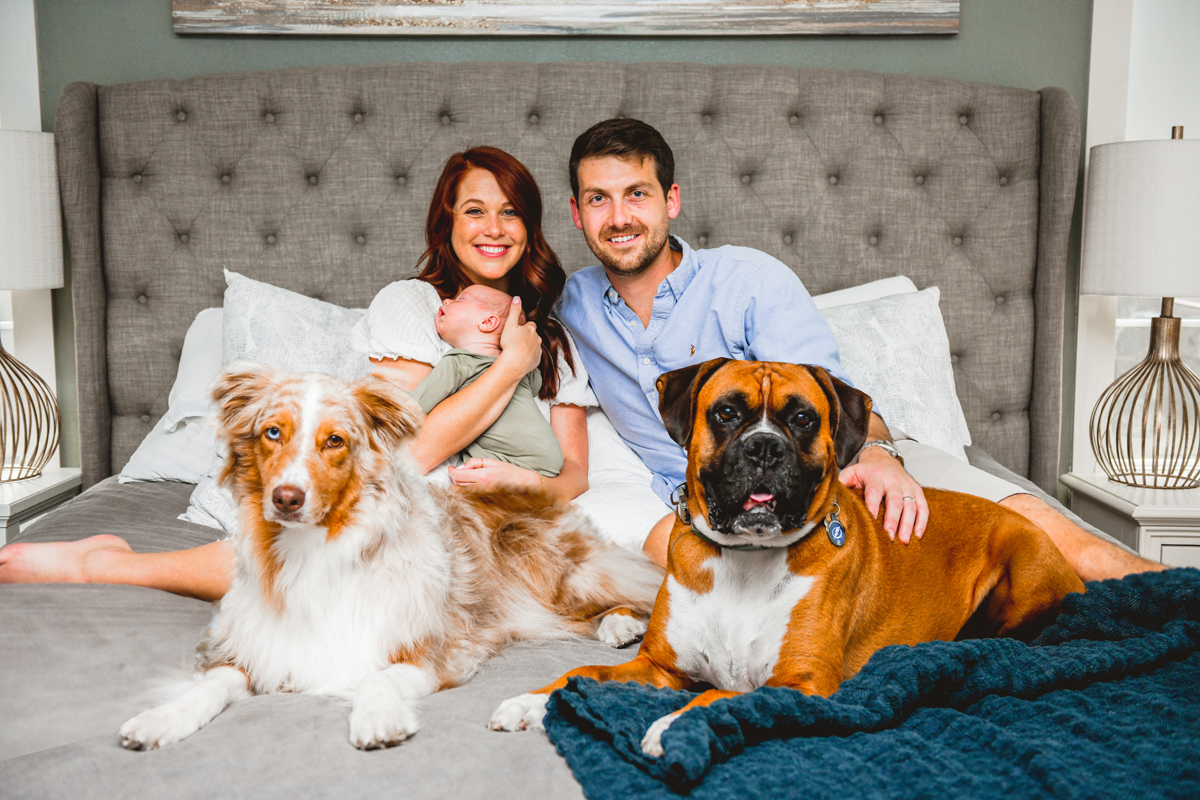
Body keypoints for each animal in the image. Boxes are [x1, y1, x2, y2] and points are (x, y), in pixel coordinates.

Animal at [118, 363, 662, 751]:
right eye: (272, 432)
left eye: (334, 441)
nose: (286, 498)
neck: (316, 551)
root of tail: (540, 491)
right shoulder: (252, 647)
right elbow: (211, 684)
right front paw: (161, 718)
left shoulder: (432, 654)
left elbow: (375, 678)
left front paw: (378, 717)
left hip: (560, 571)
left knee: (640, 585)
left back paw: (622, 623)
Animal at [490, 359, 1084, 756]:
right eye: (727, 412)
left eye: (802, 419)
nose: (764, 447)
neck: (744, 559)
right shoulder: (659, 668)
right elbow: (581, 674)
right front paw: (530, 702)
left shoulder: (800, 684)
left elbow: (720, 697)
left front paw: (673, 726)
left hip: (1023, 561)